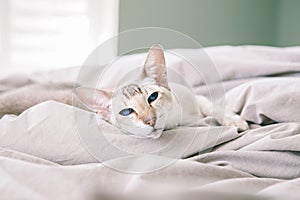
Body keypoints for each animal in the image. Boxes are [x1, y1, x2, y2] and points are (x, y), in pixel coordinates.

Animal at [74, 44, 248, 138]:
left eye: (153, 97)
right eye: (126, 112)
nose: (151, 121)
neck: (179, 121)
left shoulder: (198, 98)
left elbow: (213, 107)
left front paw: (235, 121)